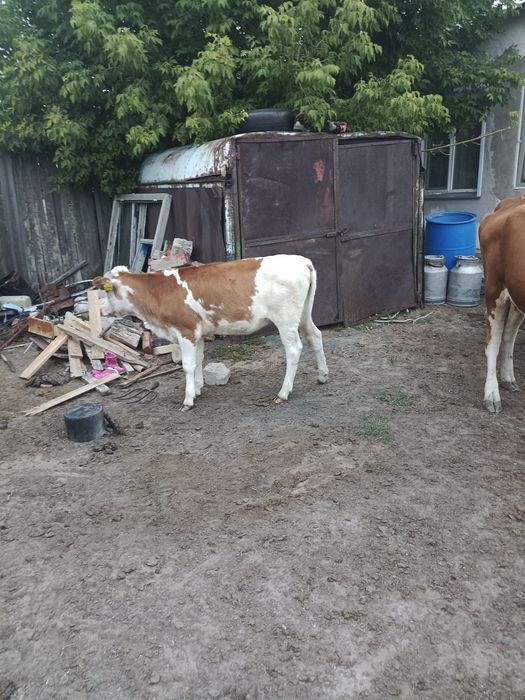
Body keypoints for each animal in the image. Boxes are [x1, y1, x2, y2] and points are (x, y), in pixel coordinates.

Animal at [92, 254, 329, 410]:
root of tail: (301, 260)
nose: (100, 309)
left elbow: (188, 365)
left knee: (294, 349)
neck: (158, 293)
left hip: (285, 319)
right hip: (304, 314)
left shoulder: (185, 330)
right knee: (315, 336)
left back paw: (283, 392)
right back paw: (322, 376)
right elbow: (198, 359)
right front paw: (198, 388)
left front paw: (188, 399)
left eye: (108, 292)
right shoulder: (198, 332)